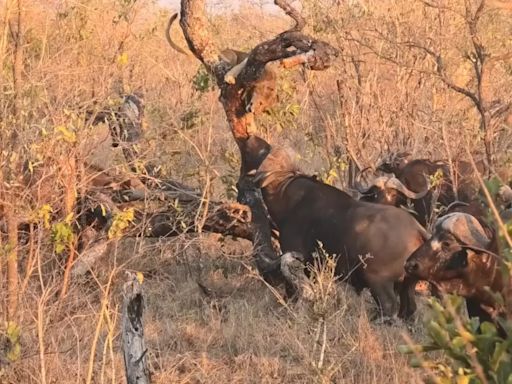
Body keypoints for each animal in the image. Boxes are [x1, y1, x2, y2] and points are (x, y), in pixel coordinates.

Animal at [242, 136, 430, 320]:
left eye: (277, 162)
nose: (256, 177)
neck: (289, 197)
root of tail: (416, 229)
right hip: (407, 285)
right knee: (409, 309)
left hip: (380, 283)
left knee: (389, 308)